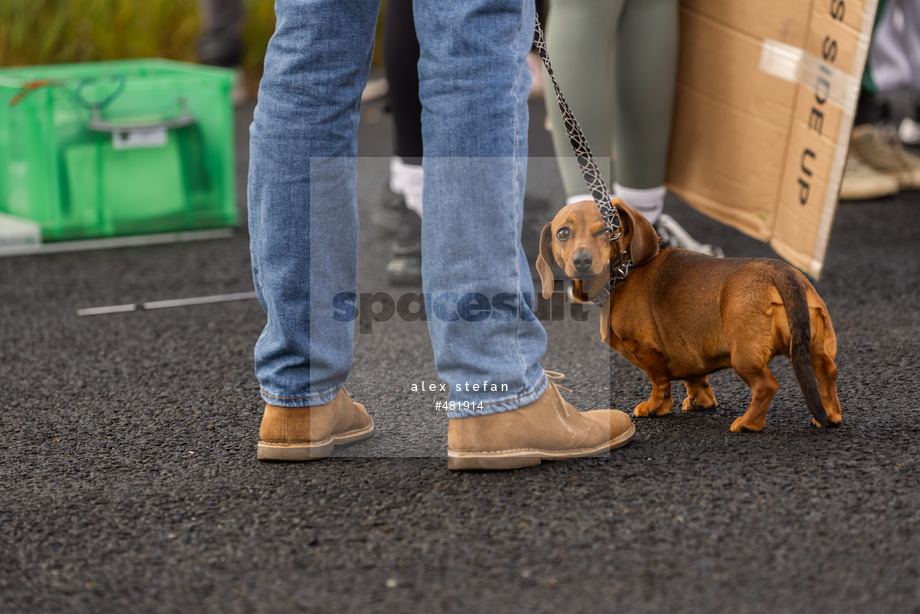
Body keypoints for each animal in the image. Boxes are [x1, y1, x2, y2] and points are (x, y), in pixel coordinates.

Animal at [536, 201, 844, 434]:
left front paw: (654, 408)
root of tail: (781, 272)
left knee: (766, 385)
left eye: (607, 231)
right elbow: (694, 378)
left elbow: (659, 382)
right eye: (563, 233)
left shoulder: (646, 350)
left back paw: (748, 423)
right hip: (814, 345)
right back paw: (829, 416)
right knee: (827, 371)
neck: (625, 269)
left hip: (744, 355)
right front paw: (700, 401)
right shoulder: (686, 351)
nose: (582, 261)